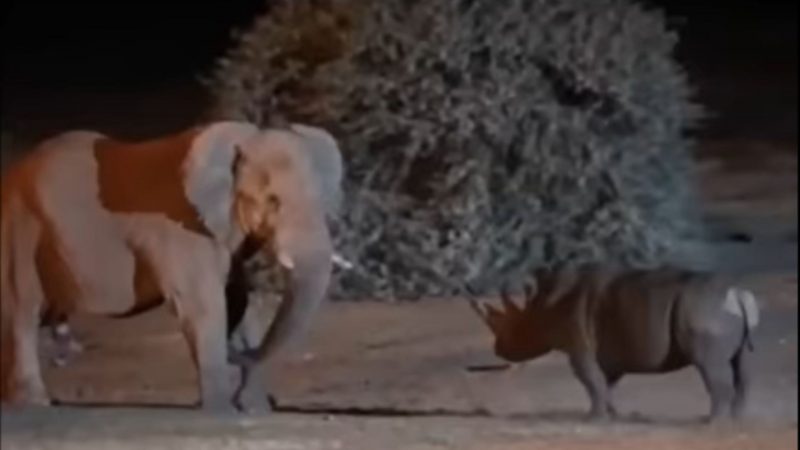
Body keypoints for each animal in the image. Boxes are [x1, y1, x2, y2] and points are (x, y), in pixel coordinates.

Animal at [0, 121, 343, 412]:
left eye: (323, 201)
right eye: (273, 201)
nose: (234, 355)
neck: (241, 138)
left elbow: (241, 302)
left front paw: (253, 409)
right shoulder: (182, 228)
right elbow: (204, 304)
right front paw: (220, 412)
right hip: (19, 225)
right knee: (23, 309)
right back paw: (33, 403)